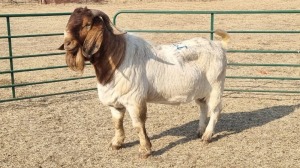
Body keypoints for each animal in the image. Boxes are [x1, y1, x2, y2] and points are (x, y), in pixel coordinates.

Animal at [58, 7, 229, 158]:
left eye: (87, 24)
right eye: (69, 21)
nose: (67, 43)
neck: (117, 57)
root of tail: (218, 45)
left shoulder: (134, 99)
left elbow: (138, 124)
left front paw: (145, 150)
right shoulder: (115, 102)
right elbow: (117, 123)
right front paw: (116, 143)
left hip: (216, 86)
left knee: (215, 110)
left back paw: (207, 135)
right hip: (201, 91)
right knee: (203, 107)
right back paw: (200, 131)